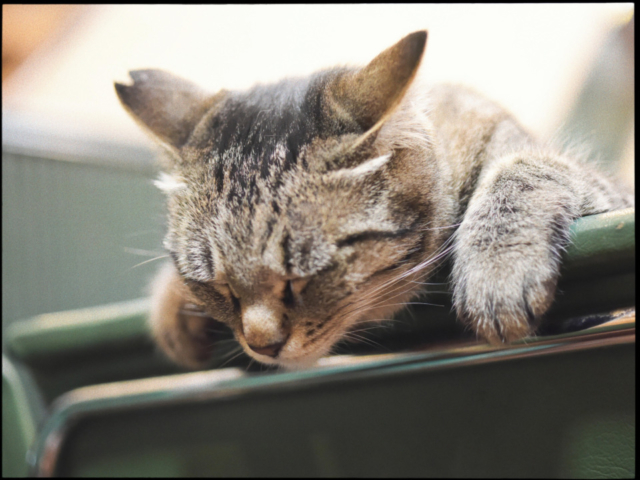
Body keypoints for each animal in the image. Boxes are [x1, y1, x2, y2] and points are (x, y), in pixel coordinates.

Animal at [114, 30, 632, 370]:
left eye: (301, 280)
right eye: (219, 286)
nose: (262, 345)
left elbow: (524, 169)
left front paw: (499, 265)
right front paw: (172, 301)